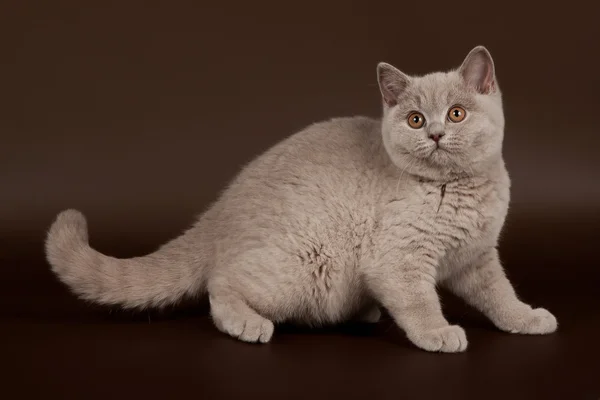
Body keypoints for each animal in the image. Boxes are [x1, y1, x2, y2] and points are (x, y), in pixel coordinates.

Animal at [47, 46, 556, 354]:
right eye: (414, 119)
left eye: (456, 113)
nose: (434, 133)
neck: (456, 188)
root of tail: (219, 212)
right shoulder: (399, 259)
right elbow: (418, 300)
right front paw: (438, 332)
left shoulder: (477, 256)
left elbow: (499, 294)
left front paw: (526, 318)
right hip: (305, 265)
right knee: (220, 285)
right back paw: (249, 324)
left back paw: (366, 311)